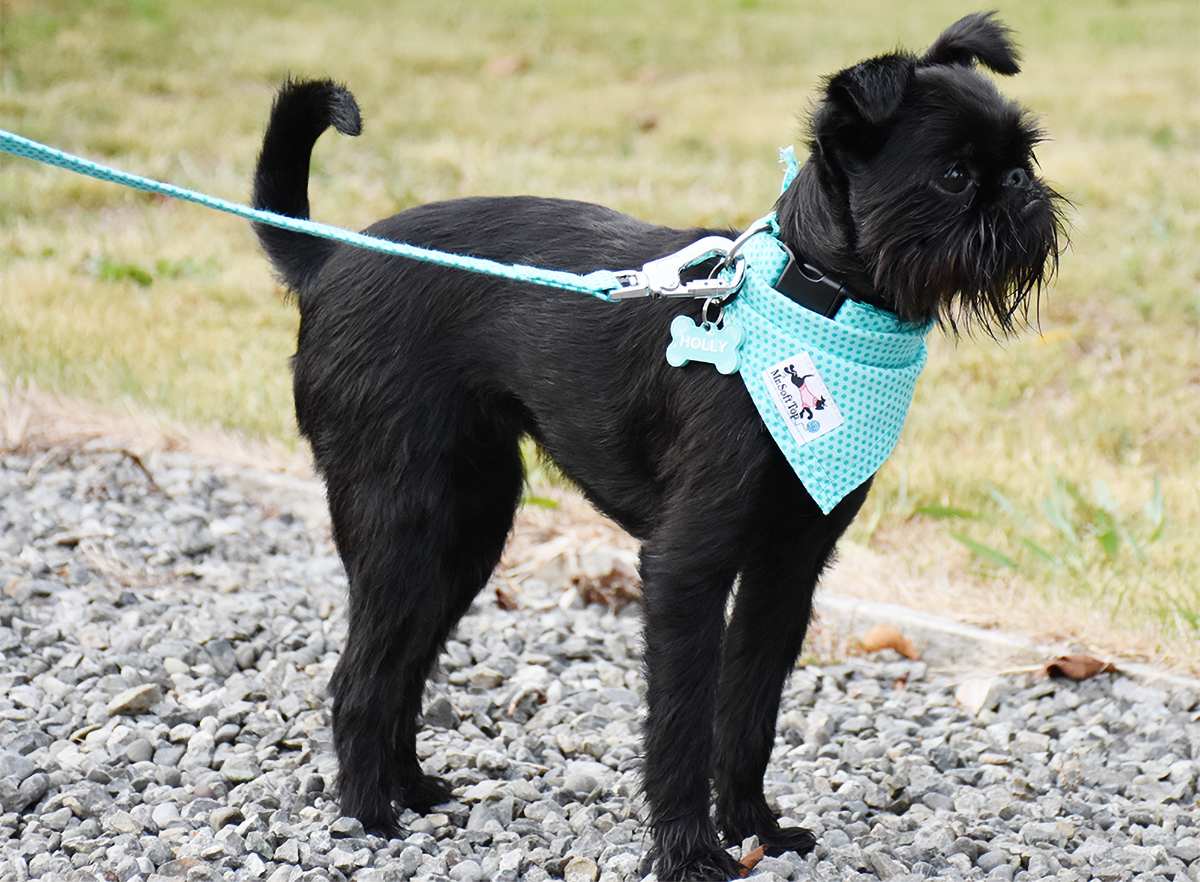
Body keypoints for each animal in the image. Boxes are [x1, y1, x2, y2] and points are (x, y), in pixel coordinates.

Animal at [250, 13, 1060, 882]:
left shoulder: (786, 572)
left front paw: (754, 829)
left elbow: (748, 712)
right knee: (359, 675)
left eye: (1022, 157)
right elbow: (681, 720)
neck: (819, 303)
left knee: (404, 663)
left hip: (466, 532)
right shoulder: (686, 569)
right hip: (401, 524)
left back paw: (411, 788)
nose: (1019, 186)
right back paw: (370, 812)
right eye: (953, 175)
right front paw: (689, 851)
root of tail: (329, 259)